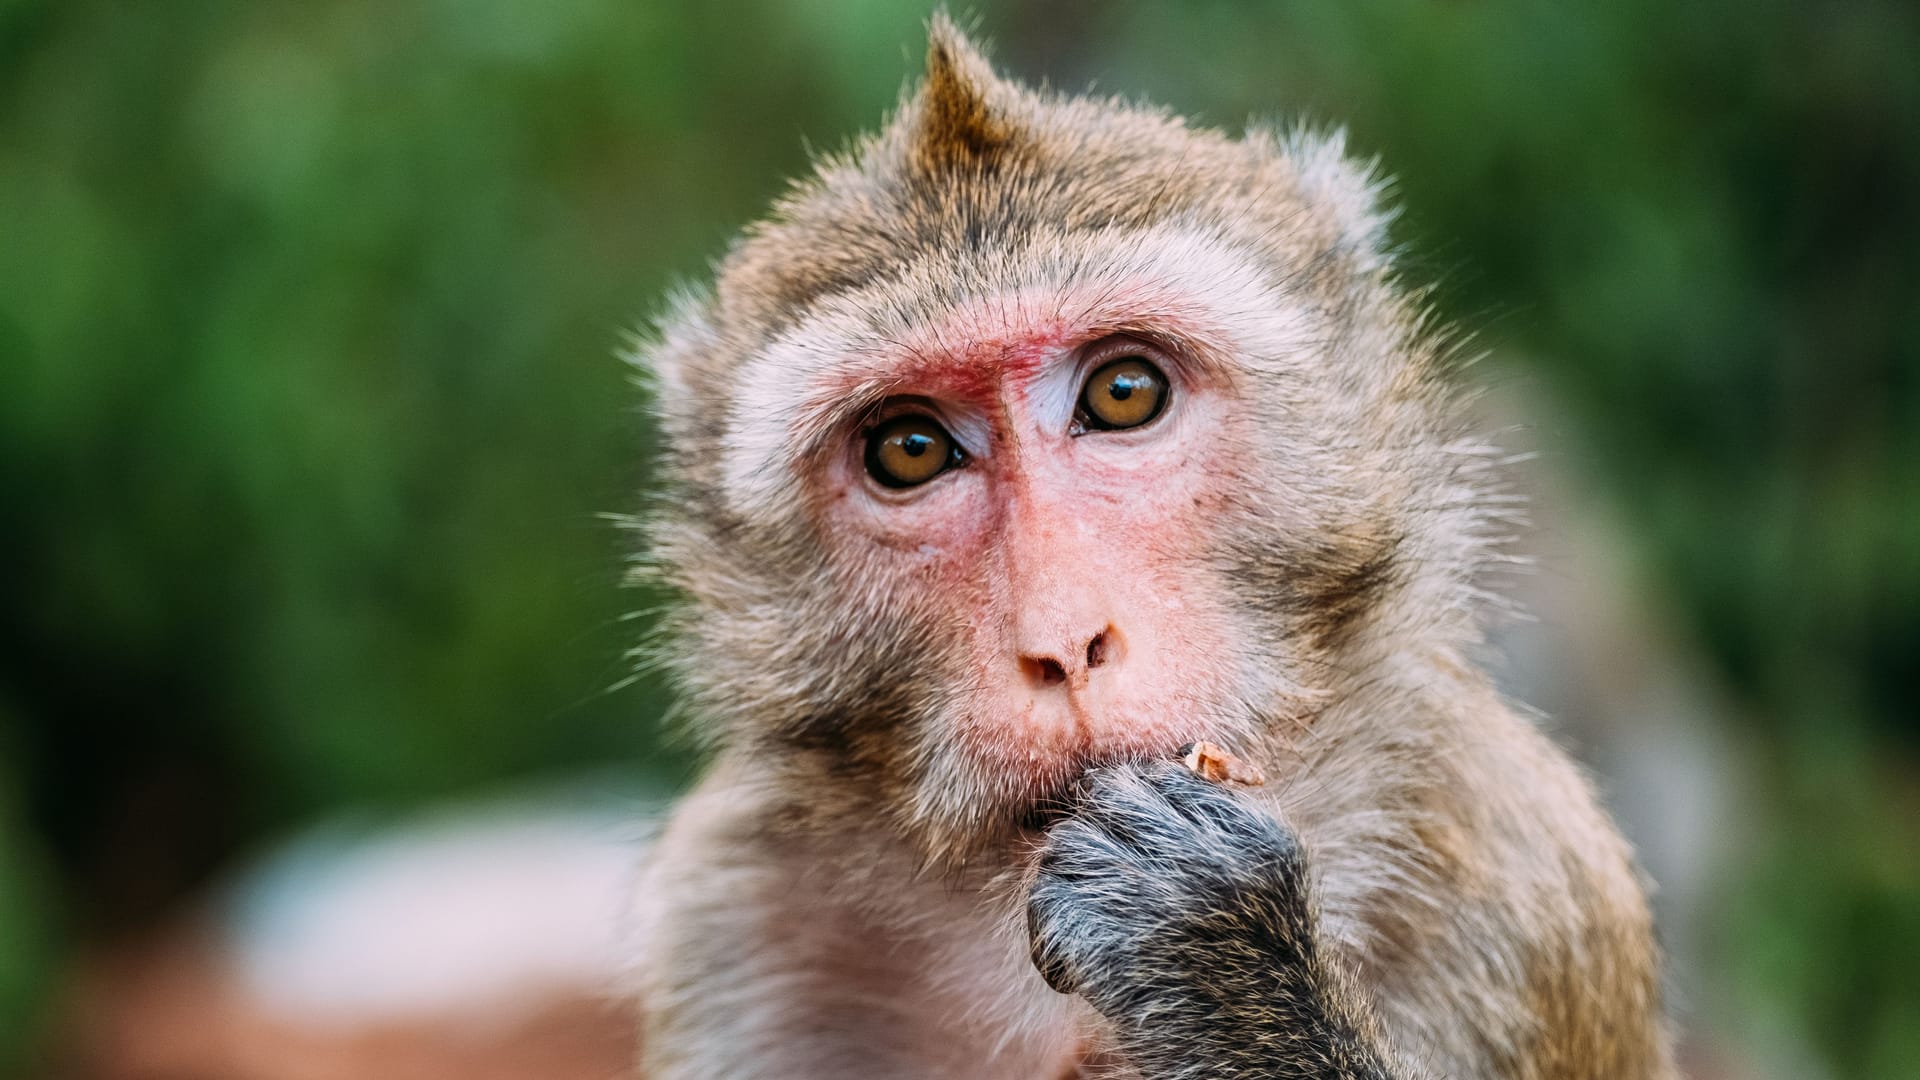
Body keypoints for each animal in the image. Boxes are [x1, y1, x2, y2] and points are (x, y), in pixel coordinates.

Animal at [625, 16, 1681, 1076]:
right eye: (910, 450)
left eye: (1123, 392)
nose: (1065, 644)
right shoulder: (735, 916)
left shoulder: (1528, 885)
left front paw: (1215, 949)